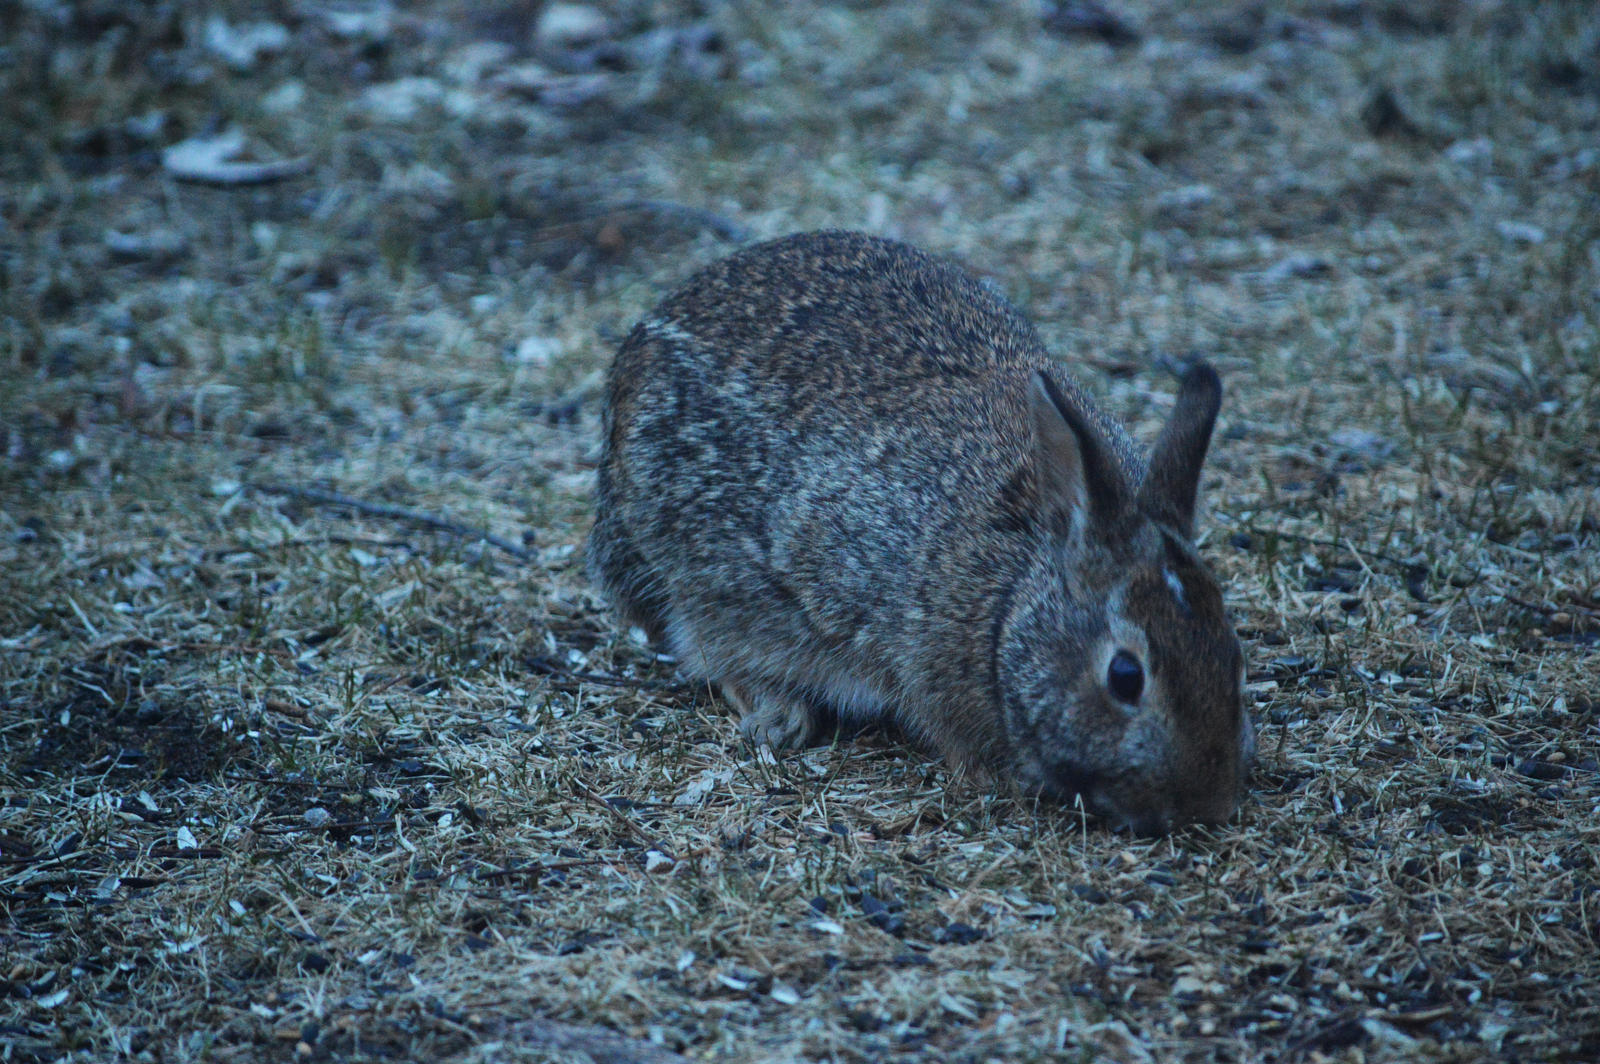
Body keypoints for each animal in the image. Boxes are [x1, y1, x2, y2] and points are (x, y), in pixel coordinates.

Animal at [592, 230, 1260, 832]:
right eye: (1126, 677)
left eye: (1233, 656)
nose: (1207, 807)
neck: (1015, 593)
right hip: (688, 562)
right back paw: (780, 715)